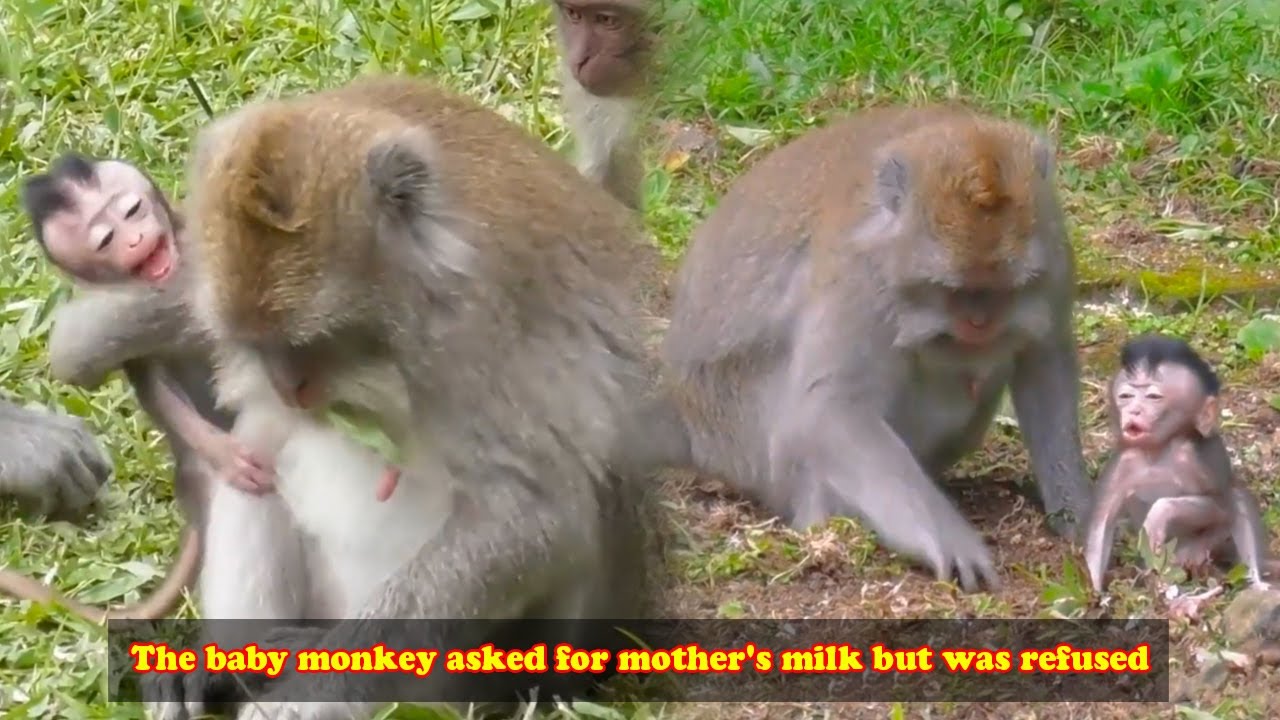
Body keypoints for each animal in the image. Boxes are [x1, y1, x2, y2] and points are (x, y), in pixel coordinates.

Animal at [140, 74, 666, 720]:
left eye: (317, 340)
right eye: (257, 345)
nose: (291, 388)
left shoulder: (479, 338)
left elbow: (537, 516)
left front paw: (313, 697)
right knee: (260, 443)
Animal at [657, 104, 1093, 592]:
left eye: (1005, 289)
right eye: (950, 289)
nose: (978, 323)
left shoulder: (1055, 253)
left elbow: (1044, 361)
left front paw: (1079, 511)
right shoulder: (861, 279)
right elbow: (829, 408)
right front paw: (949, 539)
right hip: (748, 442)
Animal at [1083, 334, 1280, 594]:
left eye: (1153, 397)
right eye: (1125, 397)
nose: (1134, 411)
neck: (1158, 451)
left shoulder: (1194, 459)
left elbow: (1222, 506)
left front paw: (1160, 514)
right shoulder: (1125, 460)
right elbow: (1101, 520)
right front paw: (1095, 591)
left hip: (1210, 545)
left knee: (1236, 500)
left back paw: (1254, 579)